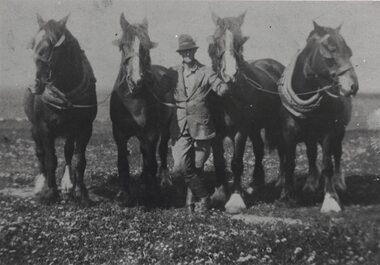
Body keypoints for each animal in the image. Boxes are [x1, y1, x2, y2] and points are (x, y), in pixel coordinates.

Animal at [23, 13, 97, 204]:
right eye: (33, 44)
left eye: (51, 45)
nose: (34, 85)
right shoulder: (44, 127)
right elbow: (50, 159)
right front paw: (50, 192)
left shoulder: (85, 128)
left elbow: (79, 159)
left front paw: (81, 192)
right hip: (34, 128)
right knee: (40, 152)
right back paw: (41, 184)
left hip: (70, 130)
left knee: (68, 152)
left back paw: (68, 183)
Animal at [110, 13, 173, 205]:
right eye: (123, 46)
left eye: (146, 46)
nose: (136, 80)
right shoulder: (119, 133)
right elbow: (123, 162)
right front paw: (124, 194)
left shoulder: (151, 132)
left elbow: (151, 160)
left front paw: (153, 192)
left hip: (165, 127)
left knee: (160, 150)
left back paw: (163, 179)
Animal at [208, 12, 284, 213]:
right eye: (216, 40)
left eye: (240, 41)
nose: (230, 74)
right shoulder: (216, 133)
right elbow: (219, 161)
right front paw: (219, 194)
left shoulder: (240, 131)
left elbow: (236, 163)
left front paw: (235, 199)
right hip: (255, 128)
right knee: (258, 149)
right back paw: (254, 184)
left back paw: (280, 182)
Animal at [280, 22, 360, 212]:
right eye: (331, 51)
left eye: (349, 52)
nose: (353, 86)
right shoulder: (288, 132)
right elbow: (289, 163)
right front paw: (288, 195)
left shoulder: (329, 132)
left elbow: (327, 164)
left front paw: (330, 199)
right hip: (310, 135)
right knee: (311, 154)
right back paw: (310, 184)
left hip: (339, 132)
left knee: (337, 154)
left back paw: (339, 183)